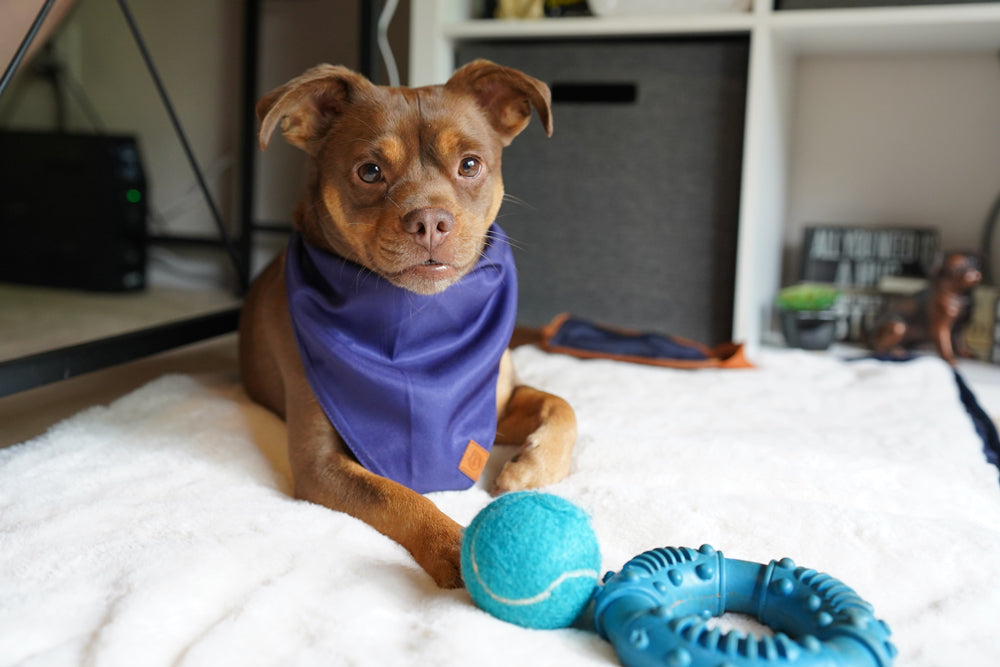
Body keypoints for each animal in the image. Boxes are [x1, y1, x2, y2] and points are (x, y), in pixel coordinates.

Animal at [236, 60, 580, 588]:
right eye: (370, 171)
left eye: (470, 165)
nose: (431, 221)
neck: (417, 321)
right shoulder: (319, 463)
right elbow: (399, 496)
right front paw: (456, 548)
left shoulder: (491, 404)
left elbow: (561, 405)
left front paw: (531, 470)